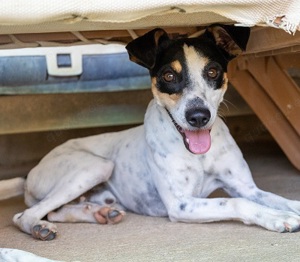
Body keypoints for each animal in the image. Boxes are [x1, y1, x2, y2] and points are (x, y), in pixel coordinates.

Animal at [1, 25, 300, 241]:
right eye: (168, 76)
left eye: (213, 71)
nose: (198, 117)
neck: (198, 155)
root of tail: (30, 173)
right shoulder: (180, 204)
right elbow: (236, 203)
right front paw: (278, 217)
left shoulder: (246, 187)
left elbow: (277, 199)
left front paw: (286, 208)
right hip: (95, 167)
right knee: (25, 215)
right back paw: (39, 228)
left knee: (55, 212)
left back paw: (100, 213)